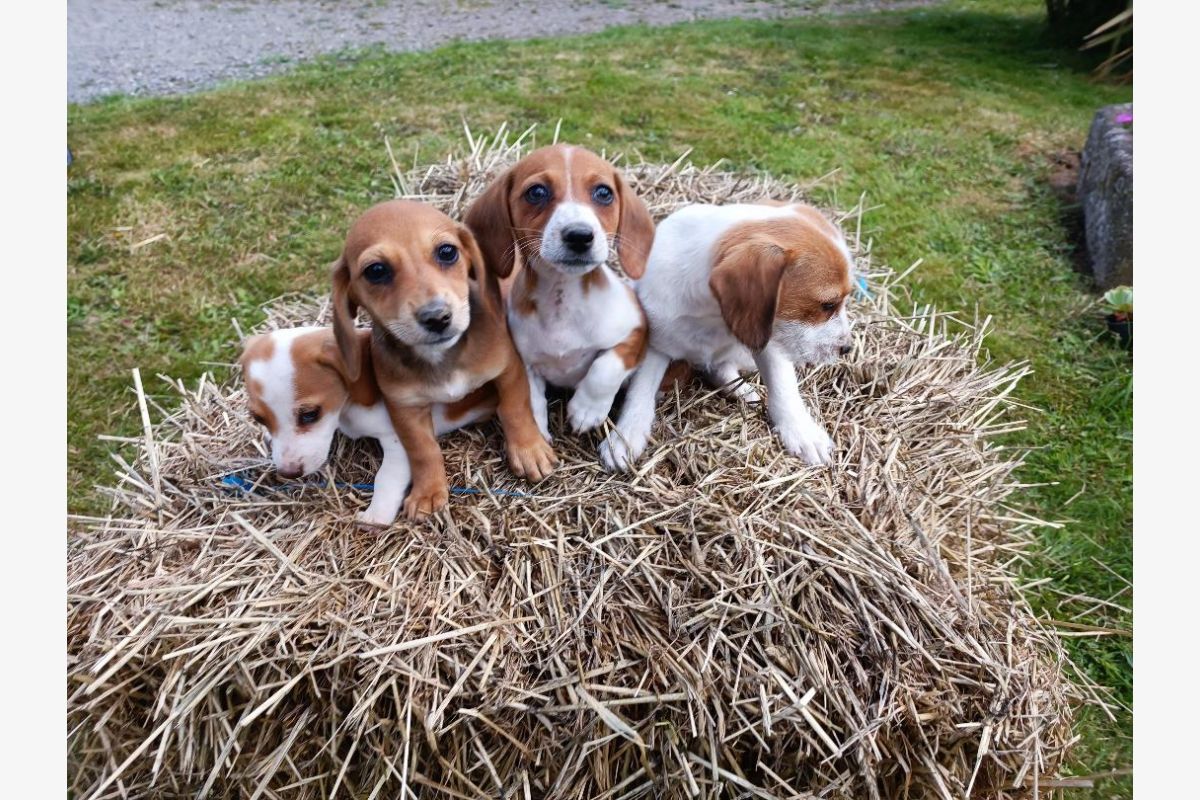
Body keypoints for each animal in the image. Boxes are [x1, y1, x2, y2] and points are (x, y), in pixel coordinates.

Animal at [238, 326, 492, 525]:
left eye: (310, 414)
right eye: (258, 419)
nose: (288, 473)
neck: (347, 409)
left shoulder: (398, 439)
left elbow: (386, 477)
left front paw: (376, 515)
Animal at [328, 199, 552, 520]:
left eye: (447, 252)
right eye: (376, 270)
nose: (437, 317)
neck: (442, 358)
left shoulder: (508, 369)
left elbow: (515, 410)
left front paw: (528, 450)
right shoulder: (404, 407)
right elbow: (423, 450)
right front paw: (428, 491)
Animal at [465, 144, 657, 443]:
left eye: (604, 193)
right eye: (536, 192)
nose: (579, 236)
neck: (562, 300)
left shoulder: (637, 330)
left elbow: (606, 367)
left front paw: (587, 409)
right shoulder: (524, 363)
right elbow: (530, 398)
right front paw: (536, 432)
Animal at [600, 200, 854, 472]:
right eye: (828, 305)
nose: (847, 349)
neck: (714, 316)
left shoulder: (767, 339)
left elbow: (784, 388)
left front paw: (802, 431)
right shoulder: (657, 343)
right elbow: (640, 392)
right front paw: (626, 435)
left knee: (721, 367)